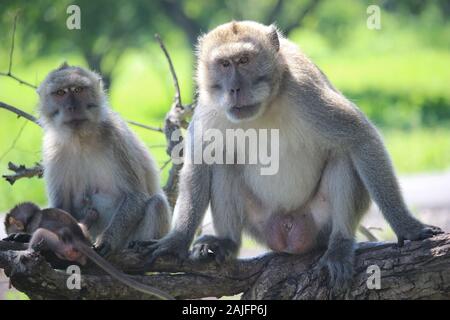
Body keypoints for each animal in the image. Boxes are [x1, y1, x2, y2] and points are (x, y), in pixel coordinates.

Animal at [5, 202, 174, 300]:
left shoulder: (34, 224)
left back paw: (30, 250)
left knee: (41, 233)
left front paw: (21, 237)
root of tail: (79, 240)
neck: (33, 215)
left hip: (61, 244)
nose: (8, 232)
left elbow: (33, 231)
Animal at [36, 63, 171, 256]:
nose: (71, 107)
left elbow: (135, 196)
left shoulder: (115, 137)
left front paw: (107, 240)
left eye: (78, 90)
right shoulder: (53, 149)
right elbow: (61, 206)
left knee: (157, 203)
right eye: (60, 93)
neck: (81, 138)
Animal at [145, 21, 442, 288]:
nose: (234, 89)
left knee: (343, 157)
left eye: (244, 60)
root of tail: (289, 232)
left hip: (317, 223)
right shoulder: (209, 108)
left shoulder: (307, 93)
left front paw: (408, 227)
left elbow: (361, 138)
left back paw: (340, 245)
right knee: (224, 164)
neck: (265, 106)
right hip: (261, 222)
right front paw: (177, 240)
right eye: (225, 64)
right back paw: (227, 242)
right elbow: (201, 164)